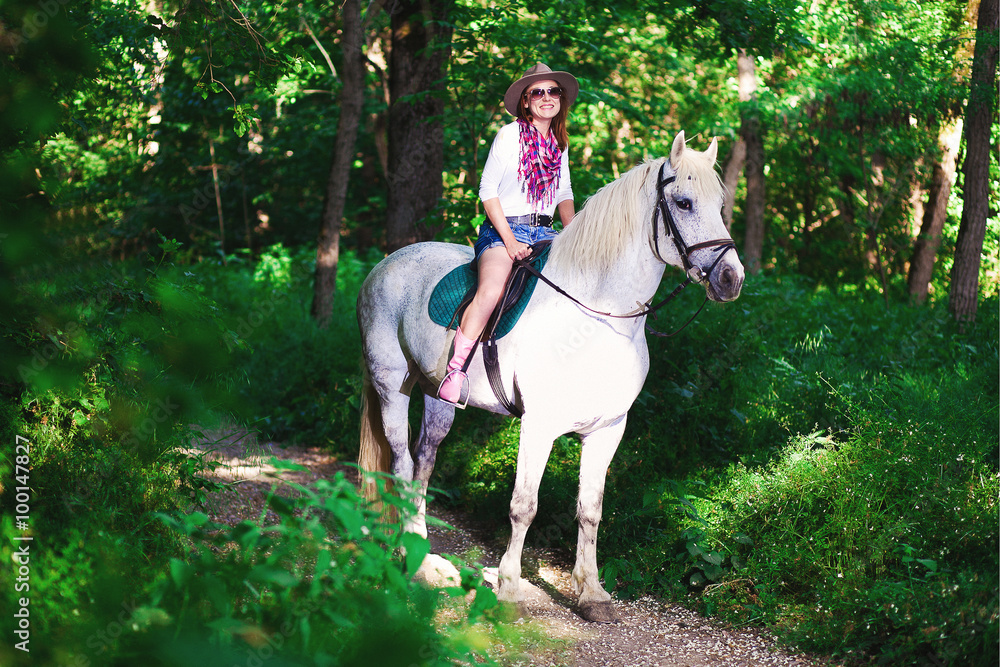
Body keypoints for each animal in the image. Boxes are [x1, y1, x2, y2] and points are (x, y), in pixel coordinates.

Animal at [358, 130, 744, 620]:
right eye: (684, 202)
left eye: (720, 203)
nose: (731, 278)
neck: (599, 315)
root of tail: (384, 264)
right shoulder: (538, 426)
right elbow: (524, 505)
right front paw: (508, 590)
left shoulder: (608, 430)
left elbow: (591, 509)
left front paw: (592, 593)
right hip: (392, 386)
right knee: (403, 463)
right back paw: (407, 555)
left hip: (437, 397)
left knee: (424, 463)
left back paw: (424, 557)